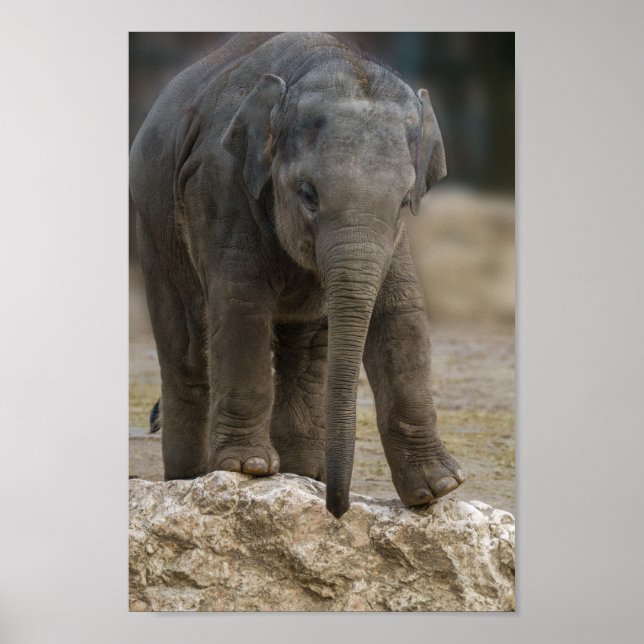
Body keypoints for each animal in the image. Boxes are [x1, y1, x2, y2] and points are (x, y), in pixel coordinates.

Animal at [129, 32, 464, 518]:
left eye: (405, 200)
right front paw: (248, 469)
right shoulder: (219, 184)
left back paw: (302, 474)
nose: (337, 511)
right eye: (308, 193)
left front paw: (438, 489)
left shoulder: (394, 238)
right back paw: (190, 479)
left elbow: (402, 313)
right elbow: (241, 302)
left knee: (304, 350)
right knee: (186, 349)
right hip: (153, 227)